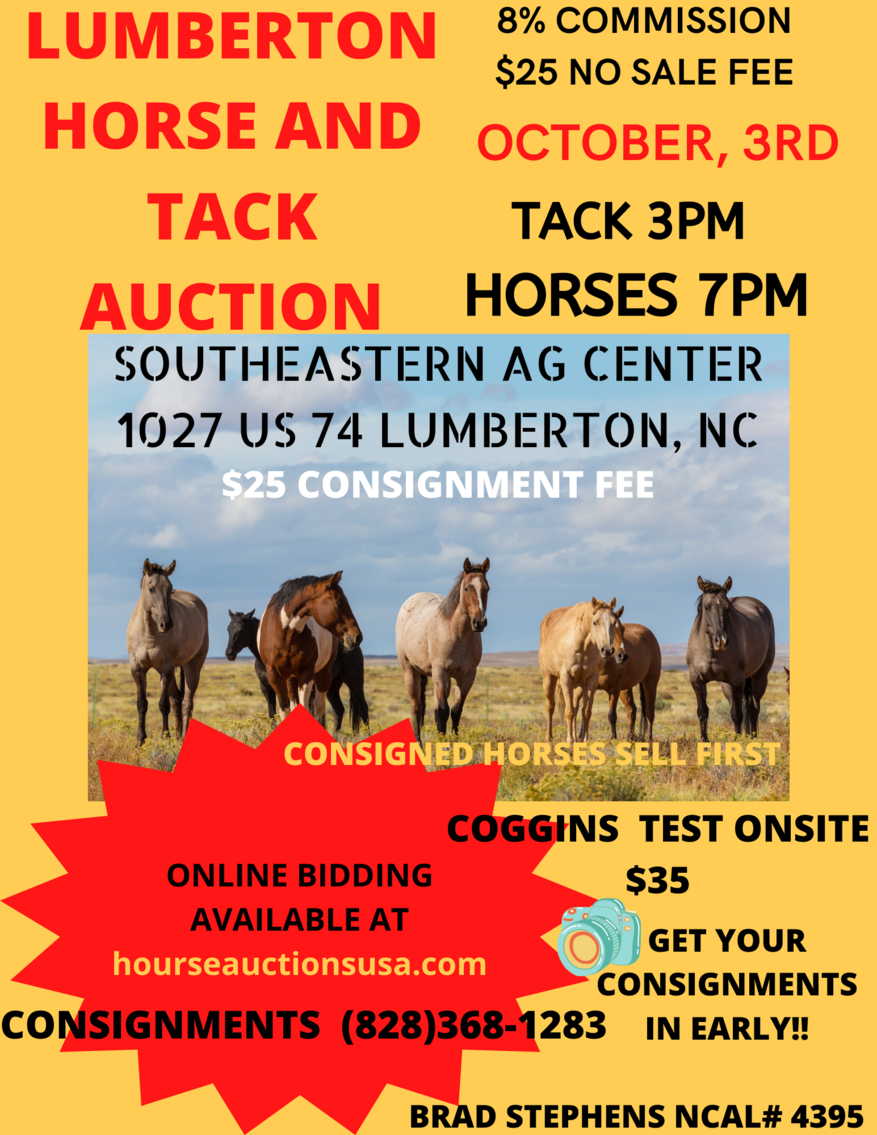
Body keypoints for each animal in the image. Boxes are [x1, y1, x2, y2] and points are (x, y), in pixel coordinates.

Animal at [126, 559, 209, 746]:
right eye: (151, 588)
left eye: (170, 588)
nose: (167, 624)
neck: (149, 633)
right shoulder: (137, 669)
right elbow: (142, 704)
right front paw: (140, 739)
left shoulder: (166, 669)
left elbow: (163, 704)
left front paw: (165, 736)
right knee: (177, 698)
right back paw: (178, 735)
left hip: (193, 666)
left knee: (186, 702)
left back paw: (183, 736)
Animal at [257, 572, 363, 724]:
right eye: (339, 603)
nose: (357, 636)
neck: (286, 634)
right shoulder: (275, 675)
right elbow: (285, 710)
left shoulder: (306, 672)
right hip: (292, 679)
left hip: (326, 675)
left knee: (320, 708)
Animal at [396, 558, 490, 742]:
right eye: (466, 588)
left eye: (487, 588)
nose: (479, 622)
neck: (457, 634)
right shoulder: (440, 671)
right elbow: (442, 711)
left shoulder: (467, 676)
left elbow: (455, 711)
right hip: (411, 672)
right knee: (416, 707)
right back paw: (419, 743)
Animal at [539, 598, 622, 743]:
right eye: (595, 622)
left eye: (614, 622)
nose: (607, 650)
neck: (582, 646)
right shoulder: (565, 677)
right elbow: (569, 711)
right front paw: (570, 740)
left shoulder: (592, 679)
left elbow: (586, 711)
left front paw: (584, 739)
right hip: (549, 678)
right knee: (550, 706)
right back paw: (549, 737)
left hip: (577, 685)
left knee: (576, 706)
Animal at [686, 576, 775, 741]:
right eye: (706, 607)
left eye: (728, 608)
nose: (721, 641)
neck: (712, 652)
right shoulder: (696, 679)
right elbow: (702, 712)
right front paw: (704, 741)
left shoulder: (737, 680)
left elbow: (737, 714)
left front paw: (737, 741)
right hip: (726, 685)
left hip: (760, 676)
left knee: (753, 709)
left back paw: (752, 738)